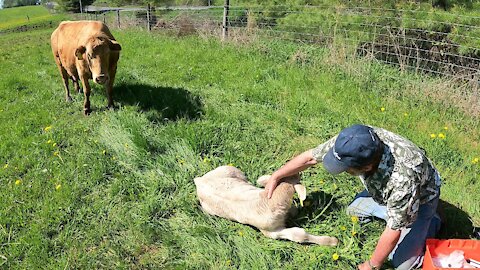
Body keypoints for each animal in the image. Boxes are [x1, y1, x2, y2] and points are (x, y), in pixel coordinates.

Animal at [194, 166, 338, 246]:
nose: (300, 172)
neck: (269, 202)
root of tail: (199, 180)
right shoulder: (271, 232)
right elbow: (299, 235)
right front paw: (332, 241)